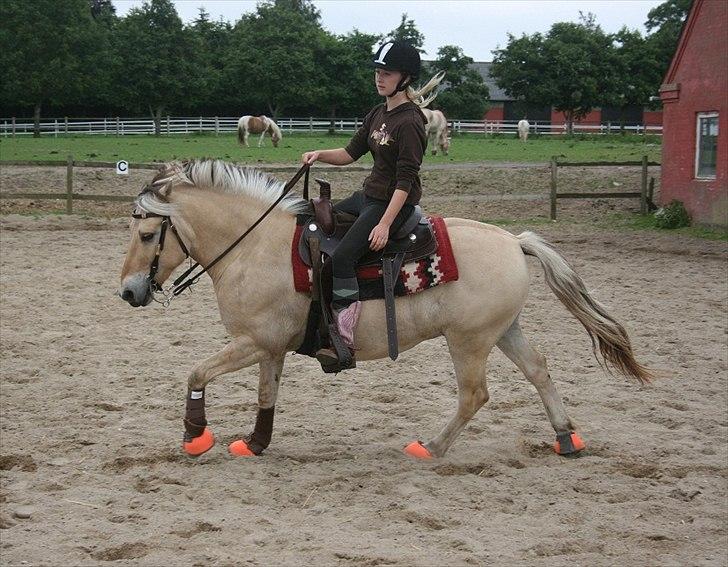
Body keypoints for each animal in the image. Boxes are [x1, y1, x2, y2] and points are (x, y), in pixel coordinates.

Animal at [118, 159, 651, 460]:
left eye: (146, 234)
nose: (127, 292)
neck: (256, 246)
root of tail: (513, 241)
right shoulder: (271, 347)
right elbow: (267, 395)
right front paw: (254, 444)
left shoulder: (253, 342)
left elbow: (196, 372)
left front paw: (195, 436)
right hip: (503, 330)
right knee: (539, 370)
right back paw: (566, 439)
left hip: (469, 341)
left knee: (474, 395)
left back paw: (431, 447)